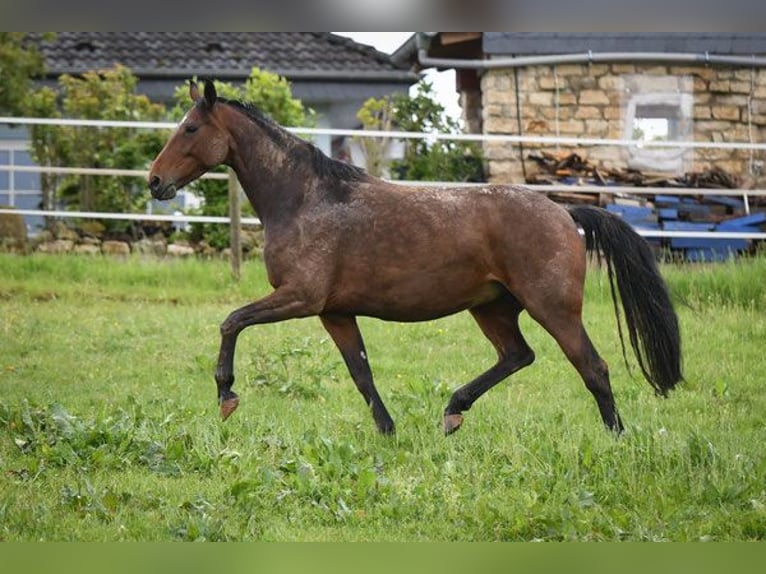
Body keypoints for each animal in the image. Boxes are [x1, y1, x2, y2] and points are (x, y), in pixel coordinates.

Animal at [150, 81, 684, 438]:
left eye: (190, 128)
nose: (155, 181)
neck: (306, 198)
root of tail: (563, 211)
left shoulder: (299, 298)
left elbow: (231, 321)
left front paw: (227, 397)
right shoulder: (334, 312)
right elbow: (361, 372)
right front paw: (387, 431)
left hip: (553, 308)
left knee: (592, 367)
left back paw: (616, 436)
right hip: (492, 308)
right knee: (518, 355)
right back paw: (452, 411)